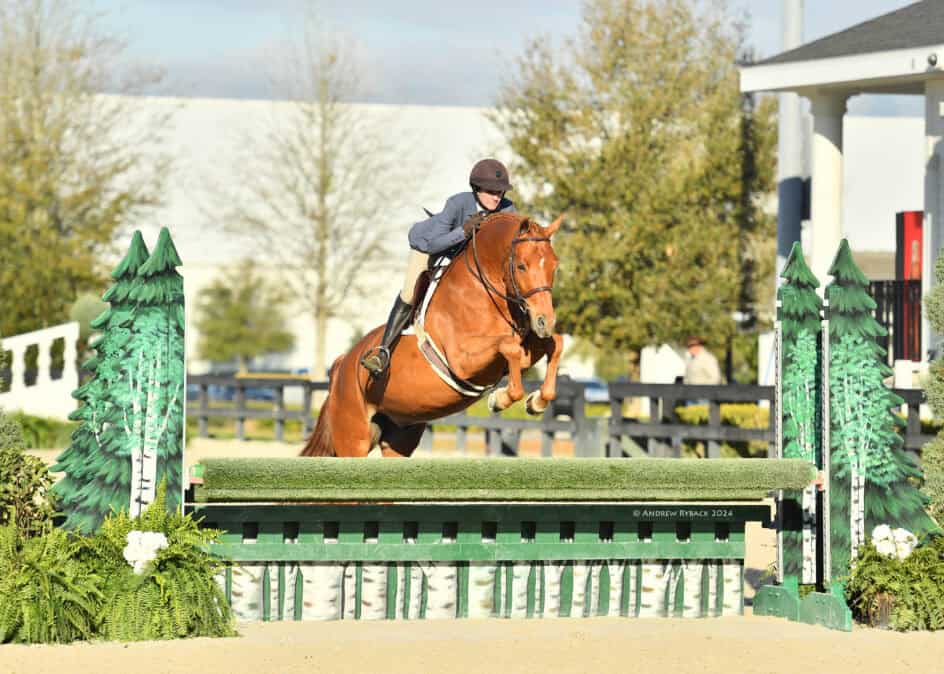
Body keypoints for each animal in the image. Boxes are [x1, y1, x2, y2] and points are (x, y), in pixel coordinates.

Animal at [301, 211, 564, 457]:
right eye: (521, 266)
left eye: (554, 266)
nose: (545, 322)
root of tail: (341, 365)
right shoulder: (461, 360)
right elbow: (509, 347)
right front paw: (499, 399)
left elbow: (555, 344)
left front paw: (537, 401)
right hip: (353, 438)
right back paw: (377, 360)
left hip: (399, 436)